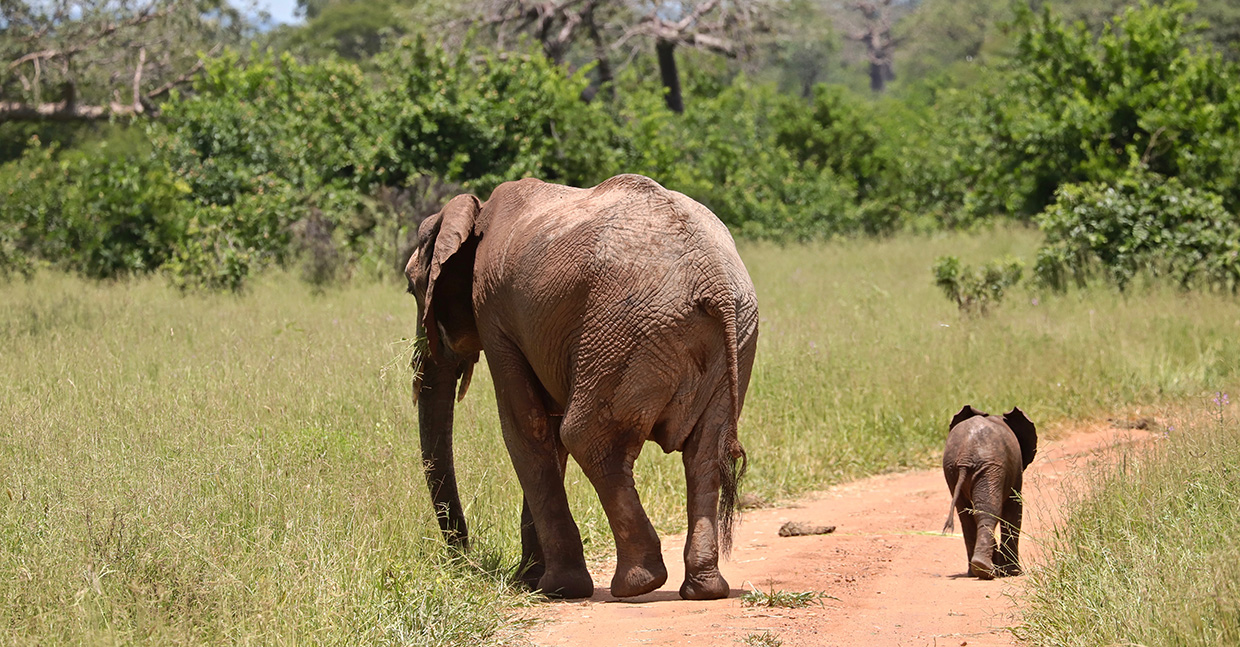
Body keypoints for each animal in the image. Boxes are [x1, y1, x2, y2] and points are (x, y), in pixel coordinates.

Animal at [406, 172, 758, 599]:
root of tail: (716, 281)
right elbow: (547, 435)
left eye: (410, 287)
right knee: (706, 452)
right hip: (734, 335)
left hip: (624, 332)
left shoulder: (493, 311)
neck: (476, 212)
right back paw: (704, 588)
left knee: (587, 437)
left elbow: (527, 429)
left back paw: (637, 584)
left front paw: (554, 588)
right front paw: (530, 581)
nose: (463, 558)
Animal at [937, 406, 1036, 577]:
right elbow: (1014, 509)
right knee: (988, 511)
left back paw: (977, 570)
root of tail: (966, 454)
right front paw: (1014, 572)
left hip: (954, 469)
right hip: (990, 468)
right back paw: (984, 569)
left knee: (967, 517)